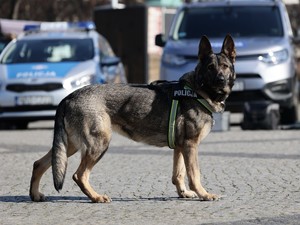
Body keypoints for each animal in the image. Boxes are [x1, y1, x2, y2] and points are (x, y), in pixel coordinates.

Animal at [30, 34, 237, 202]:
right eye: (210, 67)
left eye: (225, 67)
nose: (220, 80)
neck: (197, 91)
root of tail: (68, 97)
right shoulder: (190, 145)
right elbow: (194, 174)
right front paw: (204, 194)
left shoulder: (180, 147)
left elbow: (178, 174)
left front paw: (183, 193)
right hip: (98, 144)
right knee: (78, 175)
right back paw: (96, 197)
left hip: (70, 145)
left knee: (40, 163)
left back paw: (35, 195)